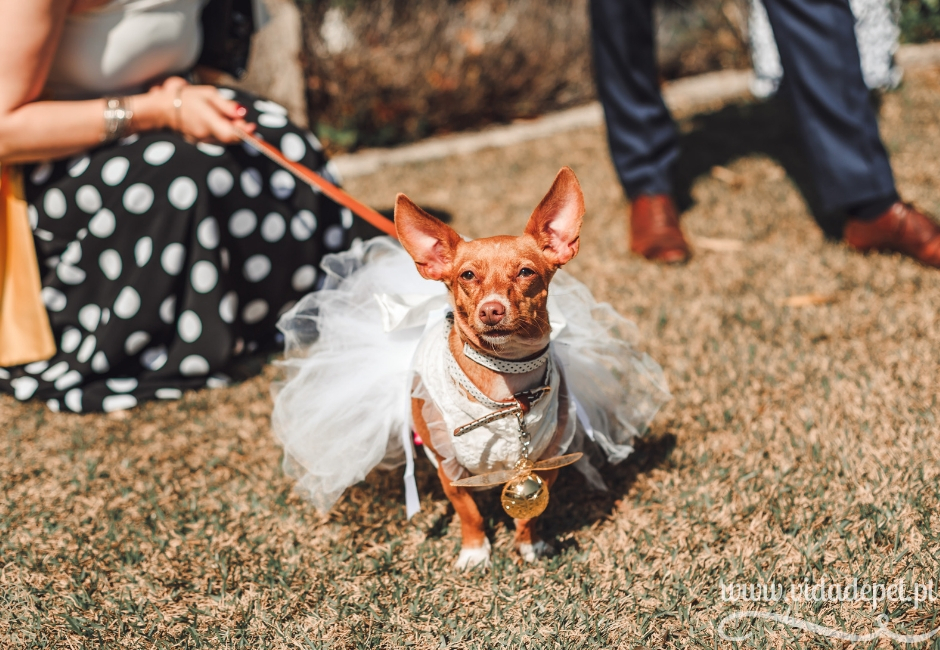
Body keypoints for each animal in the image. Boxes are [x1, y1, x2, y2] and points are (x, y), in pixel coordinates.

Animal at [392, 167, 584, 568]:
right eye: (467, 276)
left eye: (526, 272)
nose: (491, 310)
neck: (505, 377)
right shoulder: (449, 469)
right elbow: (469, 511)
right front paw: (475, 551)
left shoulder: (547, 460)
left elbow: (532, 510)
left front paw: (529, 544)